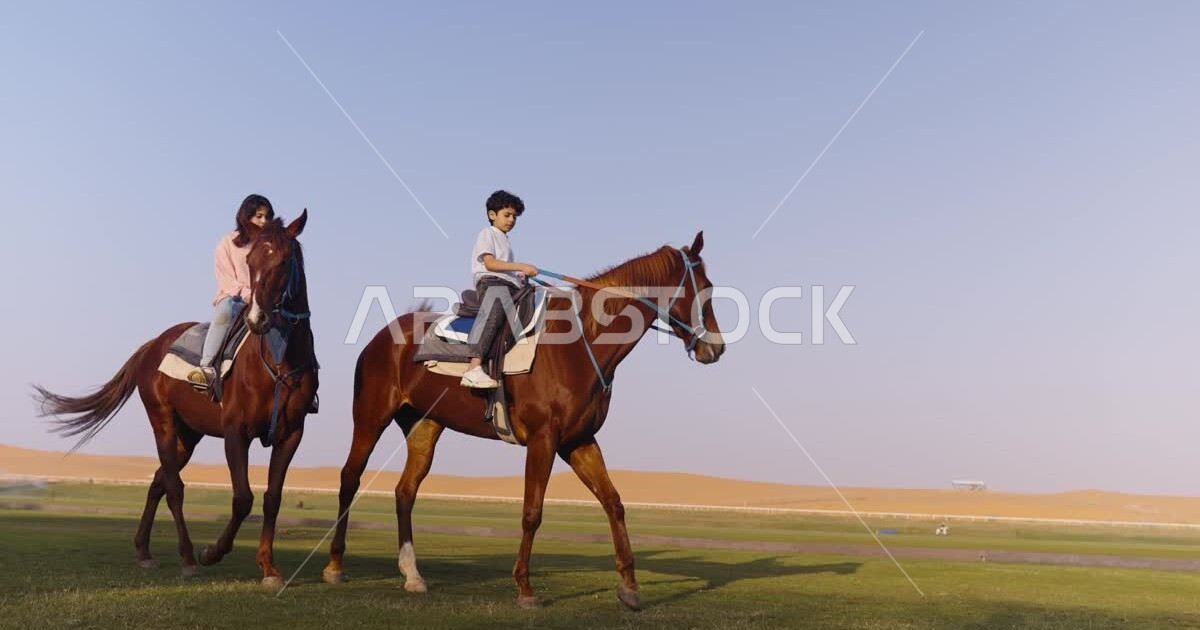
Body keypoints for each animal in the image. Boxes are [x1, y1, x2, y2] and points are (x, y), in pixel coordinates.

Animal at [33, 212, 318, 587]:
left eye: (283, 261)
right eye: (251, 261)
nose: (258, 318)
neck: (277, 360)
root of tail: (153, 345)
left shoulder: (291, 434)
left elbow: (272, 498)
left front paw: (269, 568)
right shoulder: (235, 431)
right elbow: (242, 498)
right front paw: (212, 552)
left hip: (188, 434)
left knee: (158, 482)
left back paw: (144, 551)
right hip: (164, 424)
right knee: (174, 488)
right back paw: (188, 558)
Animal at [322, 231, 725, 610]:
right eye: (703, 288)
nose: (716, 348)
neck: (579, 345)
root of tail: (383, 337)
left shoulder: (578, 441)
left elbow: (614, 503)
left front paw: (629, 588)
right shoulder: (543, 439)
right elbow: (532, 512)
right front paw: (525, 589)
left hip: (425, 426)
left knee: (405, 492)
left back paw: (412, 574)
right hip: (371, 417)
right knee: (350, 478)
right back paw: (334, 567)